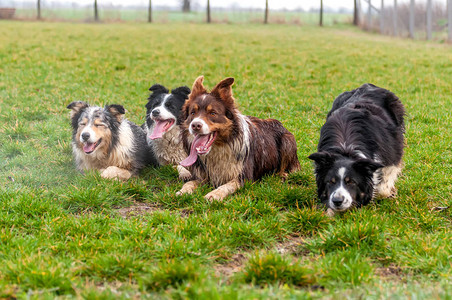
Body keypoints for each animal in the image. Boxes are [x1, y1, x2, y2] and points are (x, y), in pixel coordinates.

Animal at [308, 84, 404, 214]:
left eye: (351, 182)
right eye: (330, 182)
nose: (337, 201)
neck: (346, 149)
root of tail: (368, 85)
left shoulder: (391, 153)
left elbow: (384, 185)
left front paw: (388, 192)